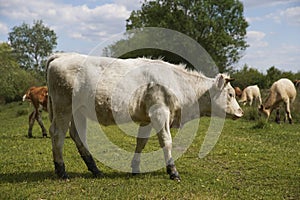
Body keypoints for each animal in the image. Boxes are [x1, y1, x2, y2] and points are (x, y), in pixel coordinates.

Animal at [47, 52, 244, 181]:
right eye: (231, 94)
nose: (241, 112)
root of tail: (62, 56)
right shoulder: (160, 113)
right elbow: (167, 141)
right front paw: (173, 171)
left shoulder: (147, 120)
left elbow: (141, 143)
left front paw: (135, 167)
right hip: (63, 108)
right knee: (57, 134)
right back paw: (61, 171)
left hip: (78, 112)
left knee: (78, 136)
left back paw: (95, 169)